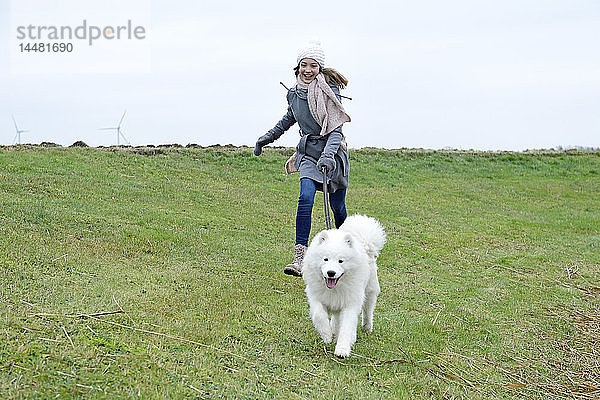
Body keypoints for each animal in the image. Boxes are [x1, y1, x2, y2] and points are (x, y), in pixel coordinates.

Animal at [302, 214, 386, 358]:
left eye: (341, 261)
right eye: (325, 259)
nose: (331, 273)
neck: (335, 288)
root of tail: (365, 244)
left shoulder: (350, 304)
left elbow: (346, 328)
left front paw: (342, 350)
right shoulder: (316, 297)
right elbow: (319, 315)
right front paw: (327, 335)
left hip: (369, 292)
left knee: (368, 311)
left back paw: (367, 327)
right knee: (336, 319)